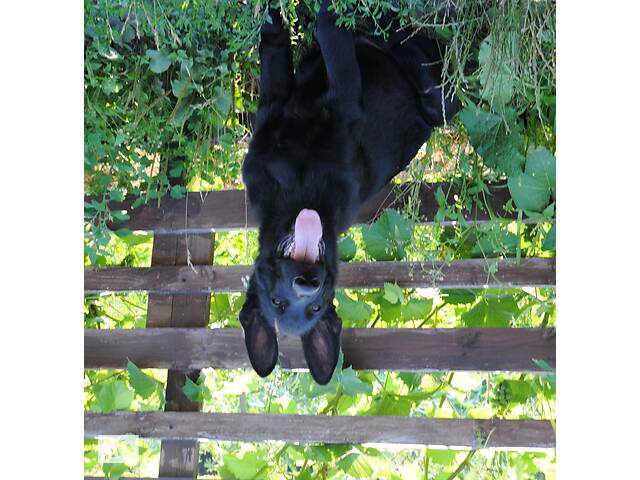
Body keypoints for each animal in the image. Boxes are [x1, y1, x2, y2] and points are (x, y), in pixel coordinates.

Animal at [240, 0, 456, 382]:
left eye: (315, 306)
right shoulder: (314, 101)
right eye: (278, 303)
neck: (299, 195)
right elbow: (304, 40)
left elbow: (291, 40)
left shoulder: (305, 100)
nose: (306, 283)